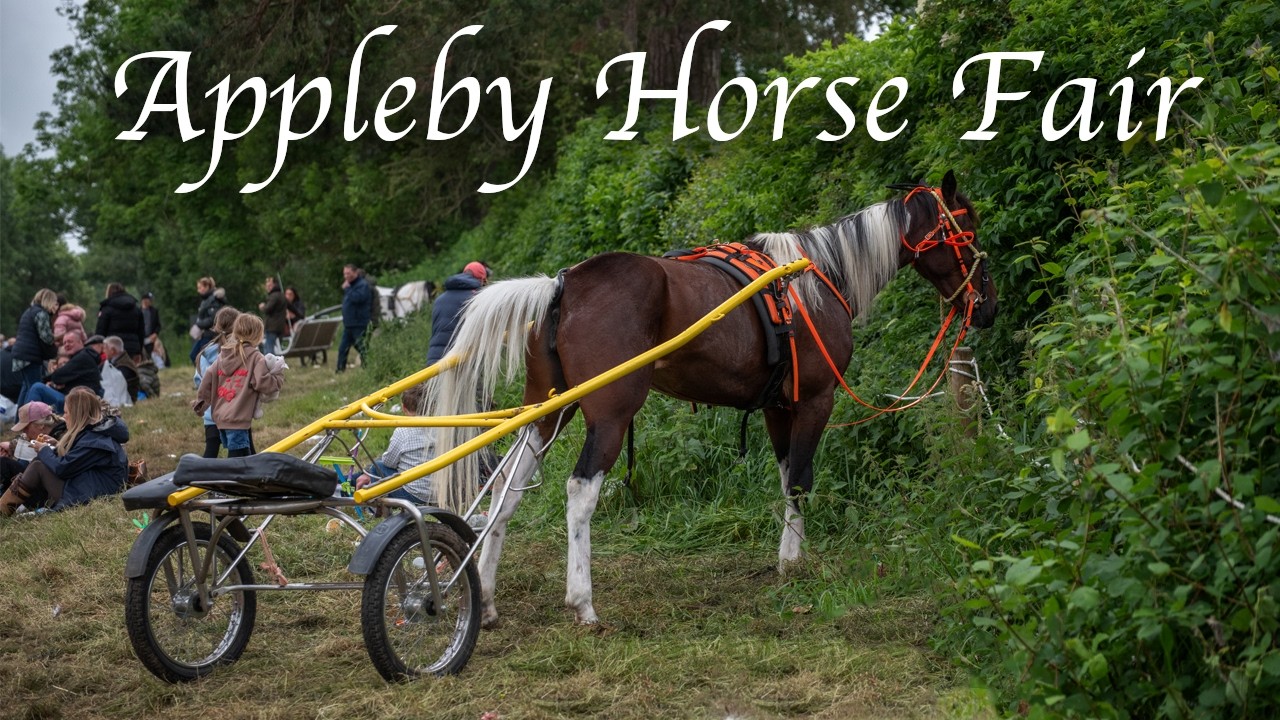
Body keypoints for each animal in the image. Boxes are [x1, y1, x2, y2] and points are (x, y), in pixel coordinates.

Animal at [426, 170, 998, 628]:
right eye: (968, 229)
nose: (988, 303)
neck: (812, 281)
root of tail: (563, 285)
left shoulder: (777, 407)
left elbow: (786, 477)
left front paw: (787, 555)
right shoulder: (815, 400)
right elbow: (801, 480)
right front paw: (794, 564)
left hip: (546, 413)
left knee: (507, 491)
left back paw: (488, 596)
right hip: (609, 414)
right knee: (580, 492)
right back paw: (582, 602)